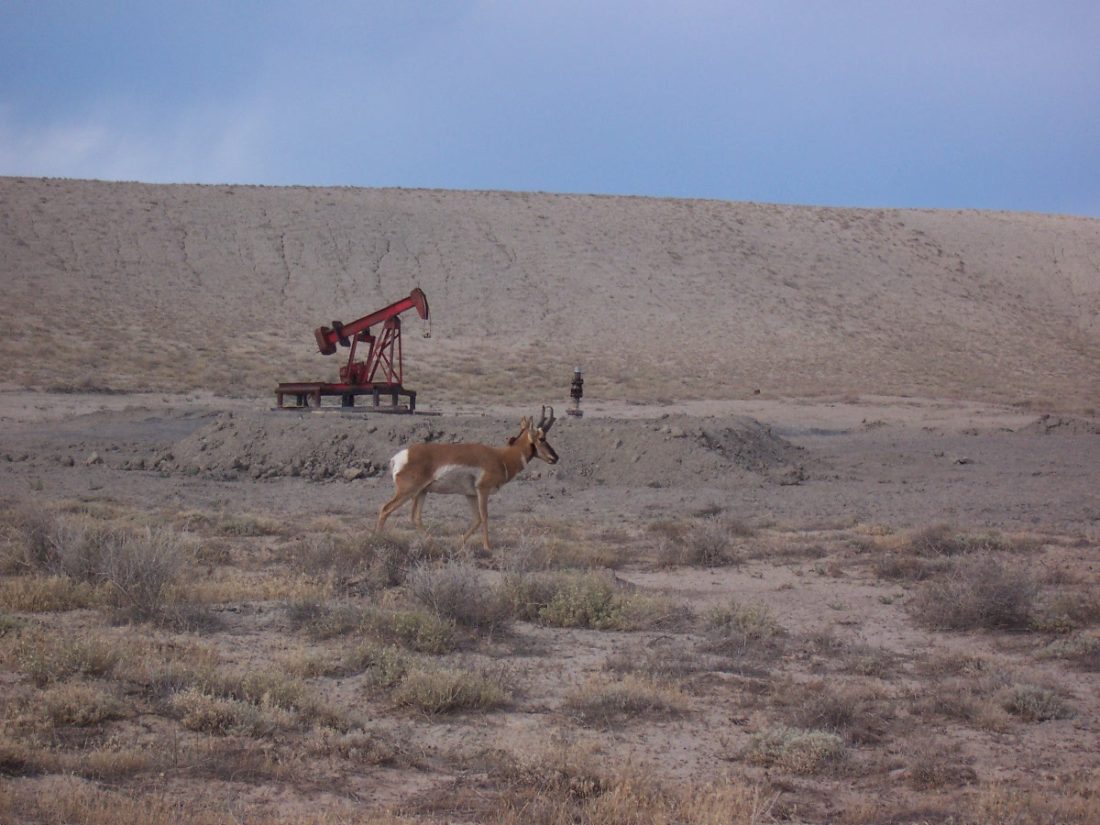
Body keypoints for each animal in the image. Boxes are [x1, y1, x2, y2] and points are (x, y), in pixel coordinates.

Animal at [378, 407, 558, 550]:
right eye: (542, 438)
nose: (556, 458)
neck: (500, 457)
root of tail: (400, 456)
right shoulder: (482, 491)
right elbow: (484, 517)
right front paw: (487, 547)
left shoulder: (470, 494)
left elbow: (476, 519)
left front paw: (459, 543)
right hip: (408, 492)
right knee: (385, 509)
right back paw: (377, 538)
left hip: (422, 492)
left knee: (415, 517)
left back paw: (434, 544)